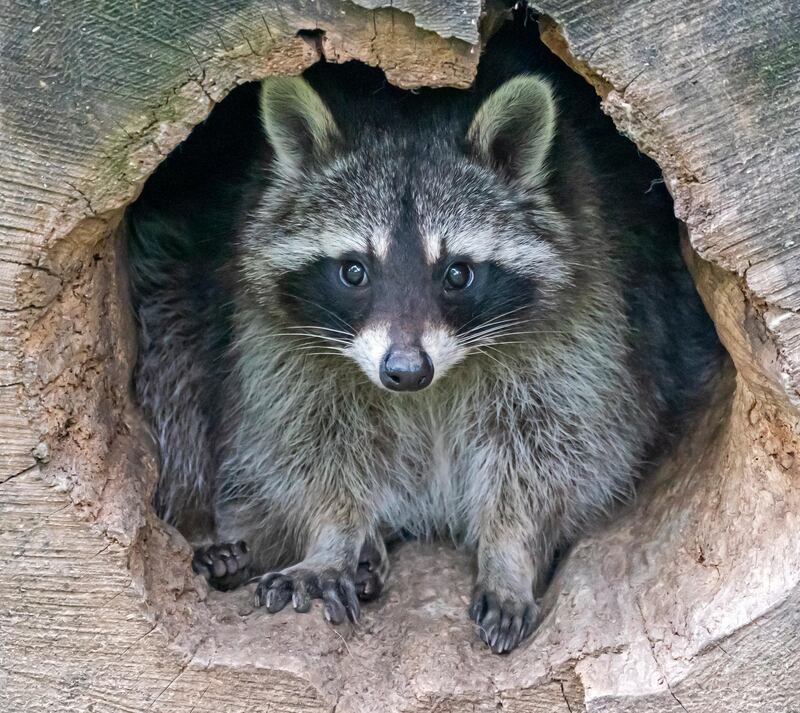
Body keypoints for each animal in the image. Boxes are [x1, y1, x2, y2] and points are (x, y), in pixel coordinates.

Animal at [130, 50, 720, 652]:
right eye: (354, 271)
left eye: (457, 273)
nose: (406, 371)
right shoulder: (277, 344)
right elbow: (303, 445)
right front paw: (330, 539)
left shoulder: (583, 323)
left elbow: (556, 450)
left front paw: (511, 551)